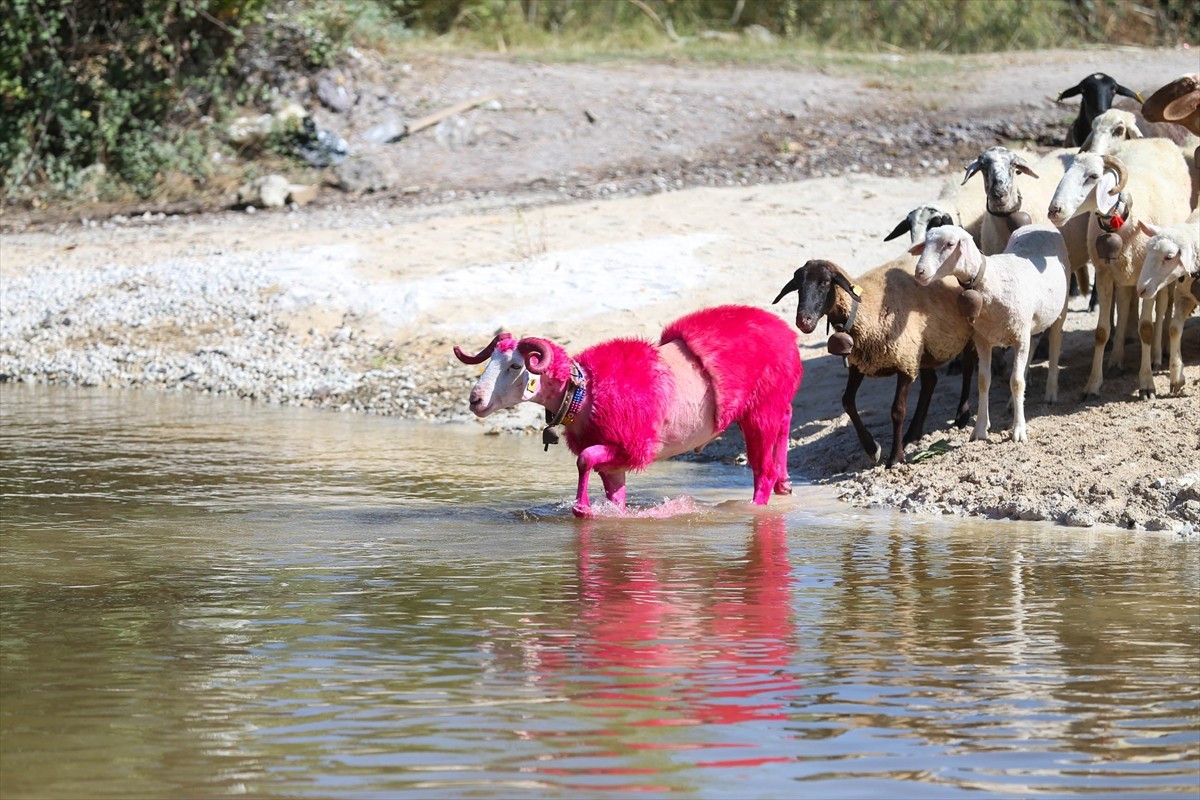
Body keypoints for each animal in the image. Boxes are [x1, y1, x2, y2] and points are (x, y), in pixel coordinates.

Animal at [453, 303, 801, 515]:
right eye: (490, 361)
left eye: (515, 366)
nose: (475, 400)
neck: (584, 392)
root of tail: (786, 333)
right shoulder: (614, 464)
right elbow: (612, 491)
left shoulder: (632, 446)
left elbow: (584, 458)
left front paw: (582, 508)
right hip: (769, 403)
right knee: (786, 418)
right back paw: (785, 483)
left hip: (761, 409)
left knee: (763, 472)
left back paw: (757, 504)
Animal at [907, 224, 1070, 443]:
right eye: (926, 242)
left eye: (950, 244)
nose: (919, 272)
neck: (991, 281)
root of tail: (1039, 225)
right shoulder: (983, 339)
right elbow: (984, 382)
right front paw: (980, 429)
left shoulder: (1019, 336)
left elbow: (1016, 382)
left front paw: (1018, 431)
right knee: (1032, 348)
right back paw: (1013, 403)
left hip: (1060, 308)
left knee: (1055, 342)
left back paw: (1051, 391)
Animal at [1132, 206, 1200, 393]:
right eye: (1147, 250)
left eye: (1169, 257)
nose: (1141, 289)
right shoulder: (1183, 297)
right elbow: (1174, 329)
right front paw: (1176, 376)